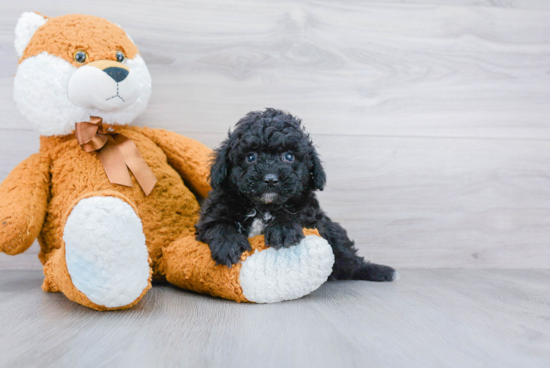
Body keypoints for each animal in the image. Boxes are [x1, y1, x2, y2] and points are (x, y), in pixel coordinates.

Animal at [196, 109, 398, 282]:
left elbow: (296, 215)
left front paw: (283, 229)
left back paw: (377, 271)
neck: (263, 207)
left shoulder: (311, 215)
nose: (271, 179)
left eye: (289, 156)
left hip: (336, 235)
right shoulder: (212, 211)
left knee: (350, 261)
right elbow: (217, 224)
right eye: (251, 157)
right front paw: (228, 245)